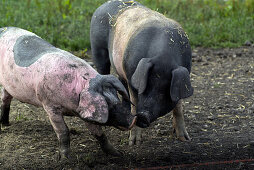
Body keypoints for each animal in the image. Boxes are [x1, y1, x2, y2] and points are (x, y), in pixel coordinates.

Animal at [0, 26, 137, 159]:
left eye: (116, 97)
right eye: (108, 105)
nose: (133, 120)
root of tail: (3, 28)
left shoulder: (85, 112)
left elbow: (98, 132)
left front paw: (118, 154)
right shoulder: (49, 105)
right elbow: (63, 131)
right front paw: (65, 159)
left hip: (8, 86)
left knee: (5, 99)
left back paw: (6, 123)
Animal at [90, 0, 193, 145]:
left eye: (165, 92)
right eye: (146, 86)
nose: (143, 116)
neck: (164, 57)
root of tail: (102, 5)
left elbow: (178, 107)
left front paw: (185, 139)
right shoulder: (132, 77)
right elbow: (135, 103)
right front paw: (134, 143)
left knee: (121, 84)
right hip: (98, 49)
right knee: (103, 71)